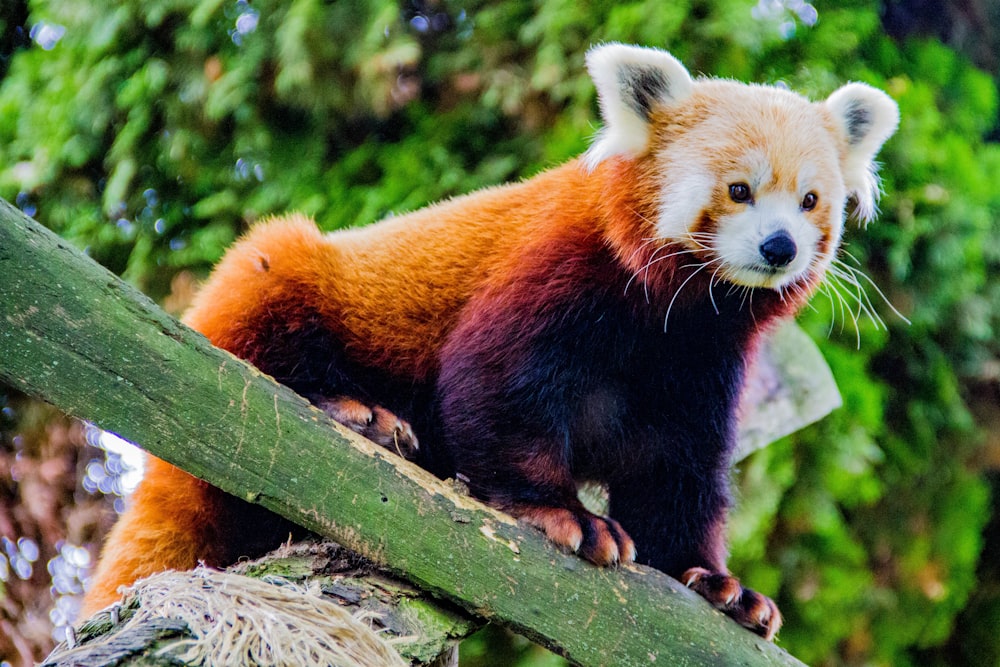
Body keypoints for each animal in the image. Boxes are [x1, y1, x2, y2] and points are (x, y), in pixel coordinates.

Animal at [84, 44, 900, 640]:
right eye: (738, 190)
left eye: (810, 200)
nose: (779, 247)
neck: (671, 318)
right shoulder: (557, 269)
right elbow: (494, 383)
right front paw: (562, 514)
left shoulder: (699, 363)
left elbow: (679, 471)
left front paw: (715, 583)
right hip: (272, 286)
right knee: (271, 303)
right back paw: (356, 411)